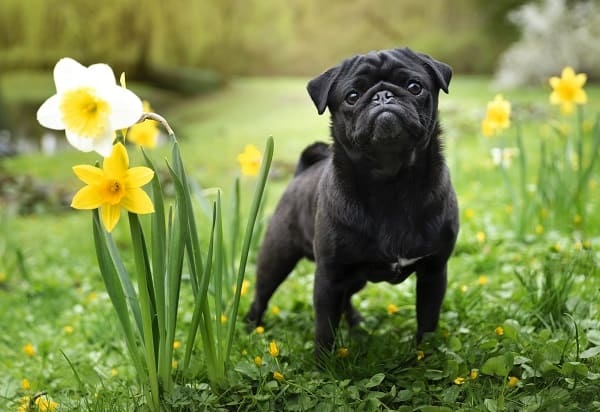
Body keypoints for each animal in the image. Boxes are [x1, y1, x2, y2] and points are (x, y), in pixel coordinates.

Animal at [246, 46, 458, 352]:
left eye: (414, 87)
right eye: (353, 96)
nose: (383, 95)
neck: (390, 181)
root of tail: (302, 172)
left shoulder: (433, 272)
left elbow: (427, 322)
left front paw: (425, 356)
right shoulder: (329, 276)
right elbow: (324, 328)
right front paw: (324, 361)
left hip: (355, 277)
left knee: (346, 299)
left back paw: (356, 322)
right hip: (277, 258)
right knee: (262, 294)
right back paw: (250, 327)